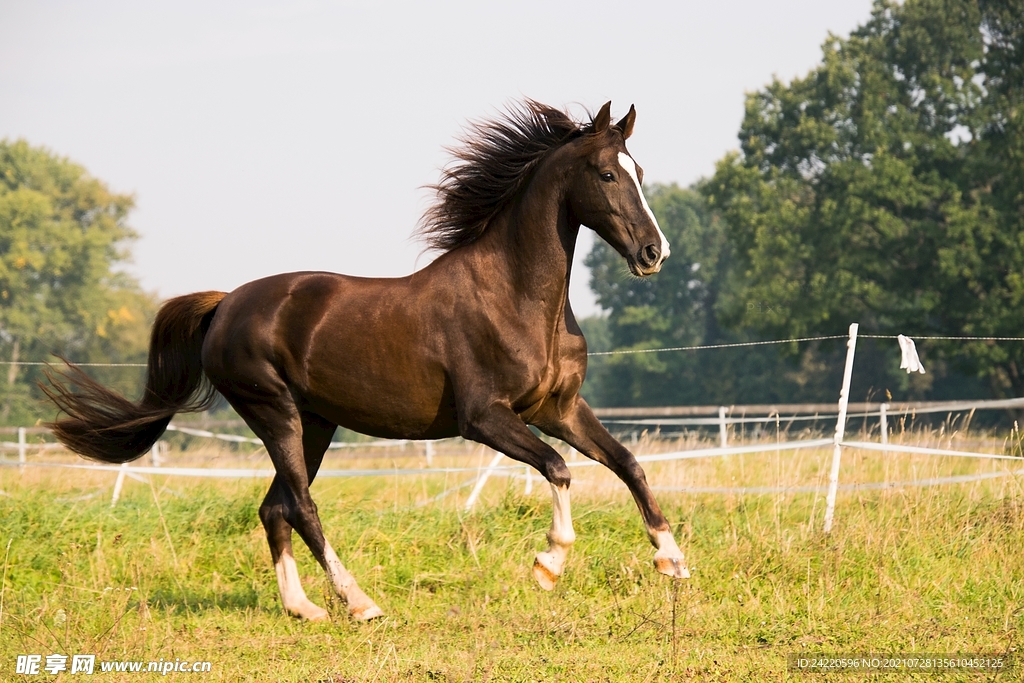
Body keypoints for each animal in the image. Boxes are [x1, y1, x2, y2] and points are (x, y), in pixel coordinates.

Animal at [42, 100, 689, 622]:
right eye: (607, 173)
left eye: (639, 171)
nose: (653, 253)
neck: (515, 297)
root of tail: (225, 304)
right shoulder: (486, 418)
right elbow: (558, 468)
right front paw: (548, 565)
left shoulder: (559, 408)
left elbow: (628, 463)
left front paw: (673, 559)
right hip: (274, 412)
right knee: (300, 506)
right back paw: (360, 603)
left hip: (315, 423)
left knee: (273, 508)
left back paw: (303, 609)